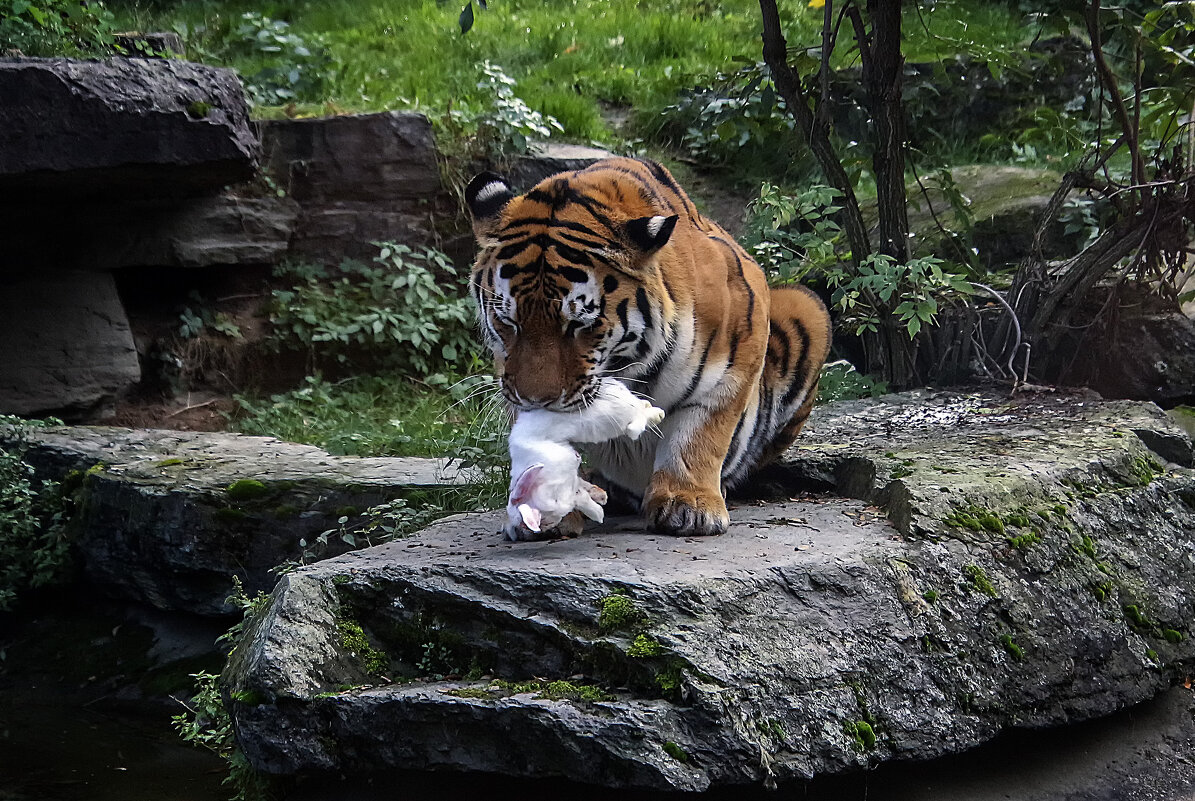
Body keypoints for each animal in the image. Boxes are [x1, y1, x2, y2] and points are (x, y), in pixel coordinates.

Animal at [509, 380, 669, 542]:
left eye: (543, 520)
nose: (547, 526)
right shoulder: (573, 484)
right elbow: (583, 493)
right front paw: (601, 499)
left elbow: (583, 498)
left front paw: (598, 513)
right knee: (640, 407)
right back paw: (653, 411)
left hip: (617, 418)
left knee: (638, 415)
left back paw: (655, 416)